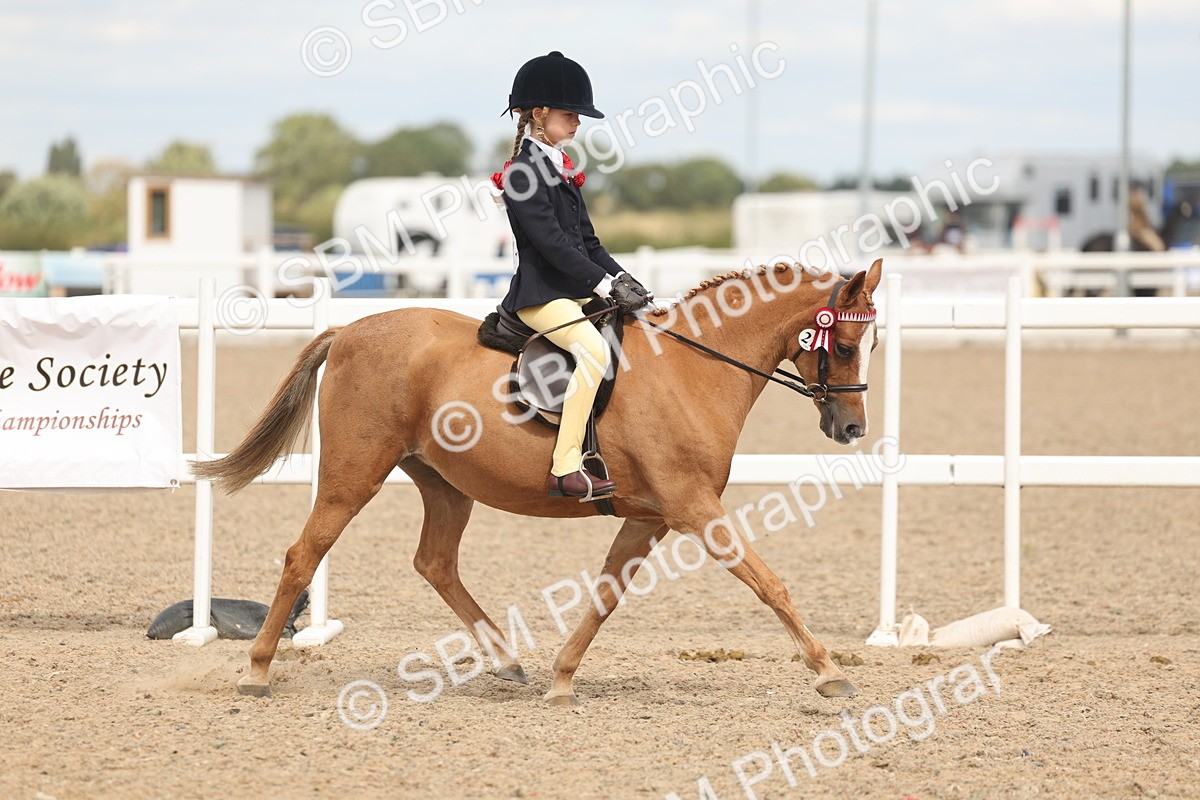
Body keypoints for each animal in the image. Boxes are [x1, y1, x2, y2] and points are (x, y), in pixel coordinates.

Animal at [192, 258, 884, 704]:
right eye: (847, 344)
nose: (851, 427)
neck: (693, 370)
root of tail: (348, 330)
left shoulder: (650, 517)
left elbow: (606, 596)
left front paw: (562, 678)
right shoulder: (693, 507)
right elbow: (770, 584)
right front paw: (828, 672)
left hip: (445, 483)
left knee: (434, 562)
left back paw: (507, 661)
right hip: (352, 475)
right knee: (304, 554)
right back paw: (256, 672)